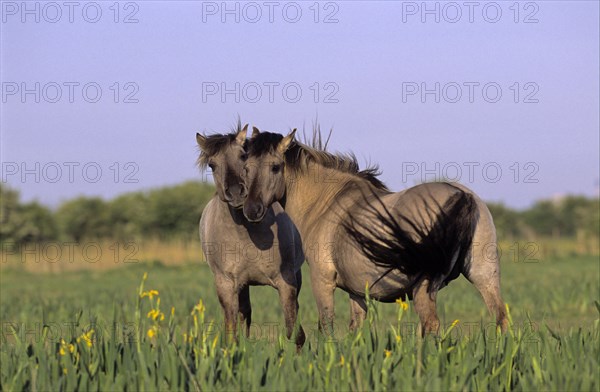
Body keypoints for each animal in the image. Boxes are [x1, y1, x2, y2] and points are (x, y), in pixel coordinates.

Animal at [196, 124, 304, 348]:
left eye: (243, 155)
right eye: (212, 164)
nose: (236, 192)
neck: (246, 235)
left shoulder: (286, 282)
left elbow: (294, 330)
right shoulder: (226, 285)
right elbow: (232, 333)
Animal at [241, 127, 508, 336]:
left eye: (276, 167)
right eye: (246, 167)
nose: (252, 209)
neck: (327, 202)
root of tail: (462, 195)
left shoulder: (322, 281)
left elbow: (326, 327)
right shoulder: (357, 293)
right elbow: (355, 331)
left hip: (425, 287)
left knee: (431, 325)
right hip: (484, 275)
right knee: (501, 318)